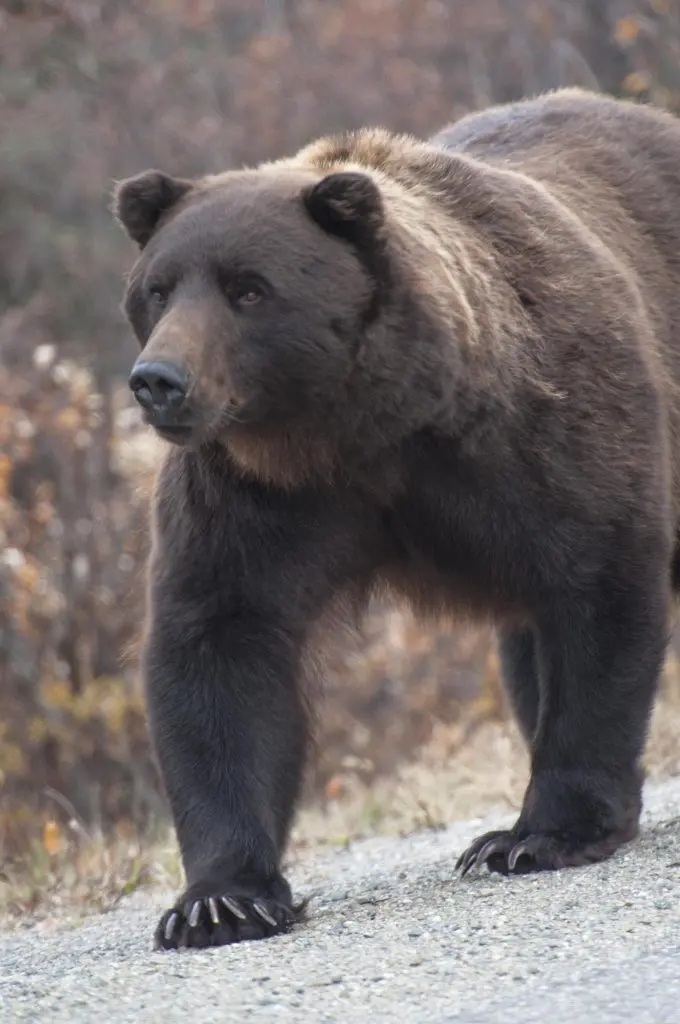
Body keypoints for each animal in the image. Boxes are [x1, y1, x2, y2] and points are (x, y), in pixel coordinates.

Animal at [114, 87, 680, 951]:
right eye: (158, 287)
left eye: (249, 288)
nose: (159, 380)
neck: (364, 427)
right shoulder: (255, 495)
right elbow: (220, 642)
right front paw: (220, 901)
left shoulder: (542, 433)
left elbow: (598, 583)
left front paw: (534, 836)